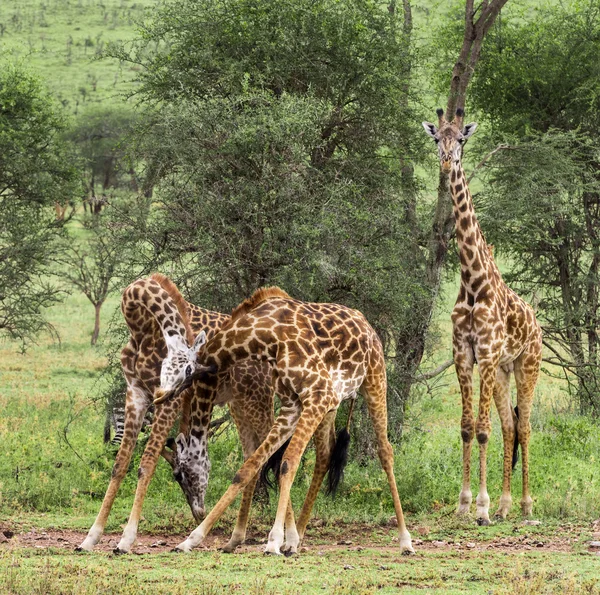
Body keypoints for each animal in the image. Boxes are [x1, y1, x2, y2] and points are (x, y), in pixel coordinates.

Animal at [78, 274, 276, 556]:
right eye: (177, 477)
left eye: (189, 371)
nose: (198, 511)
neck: (141, 327)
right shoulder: (136, 394)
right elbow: (120, 464)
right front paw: (90, 538)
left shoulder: (167, 404)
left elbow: (146, 464)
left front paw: (126, 540)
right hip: (240, 405)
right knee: (256, 456)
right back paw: (236, 538)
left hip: (258, 400)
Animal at [157, 286, 414, 556]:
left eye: (179, 474)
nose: (159, 396)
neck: (266, 337)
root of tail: (365, 322)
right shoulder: (293, 405)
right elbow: (250, 467)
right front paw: (191, 539)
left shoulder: (318, 395)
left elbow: (288, 462)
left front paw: (273, 541)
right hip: (332, 405)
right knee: (325, 454)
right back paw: (296, 540)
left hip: (374, 380)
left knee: (385, 451)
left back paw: (405, 541)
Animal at [422, 109, 544, 524]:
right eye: (437, 138)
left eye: (461, 139)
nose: (446, 162)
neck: (473, 282)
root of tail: (537, 325)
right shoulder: (464, 354)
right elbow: (465, 427)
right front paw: (464, 503)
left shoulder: (487, 355)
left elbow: (482, 429)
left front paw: (482, 506)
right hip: (504, 371)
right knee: (511, 426)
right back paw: (507, 504)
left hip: (526, 365)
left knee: (524, 427)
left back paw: (524, 505)